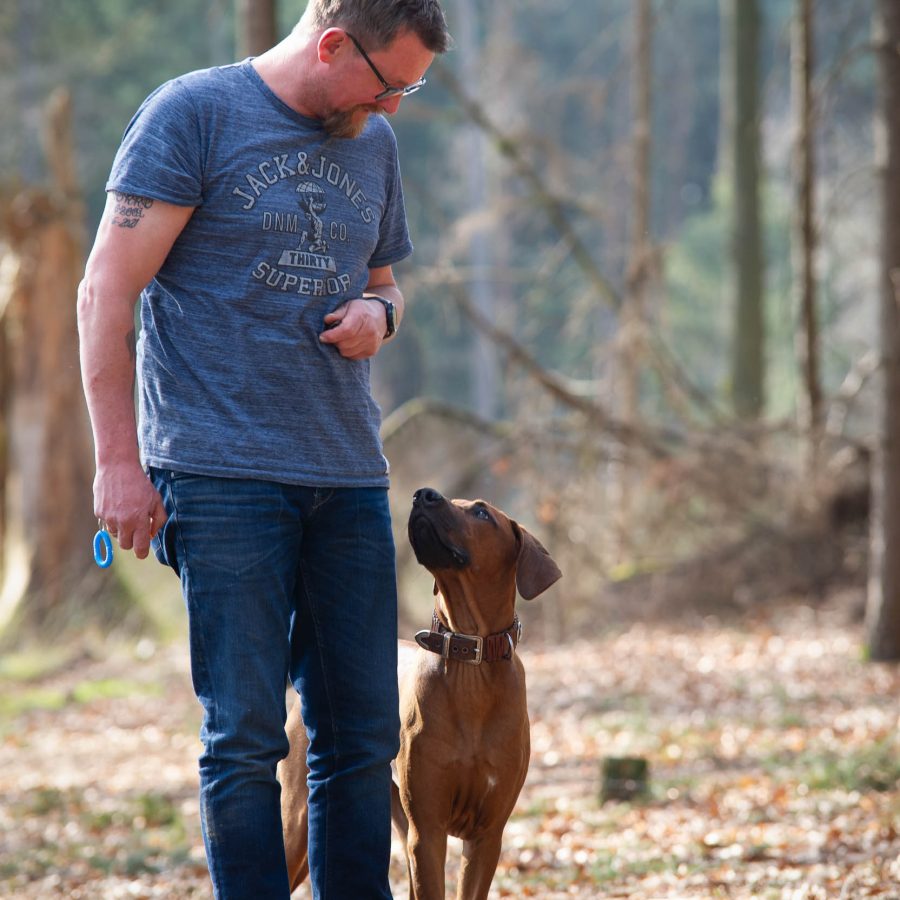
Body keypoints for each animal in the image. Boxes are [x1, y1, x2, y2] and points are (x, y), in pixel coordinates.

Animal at [282, 488, 564, 896]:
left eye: (482, 513)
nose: (424, 495)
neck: (470, 662)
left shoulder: (486, 834)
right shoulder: (428, 832)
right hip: (298, 824)